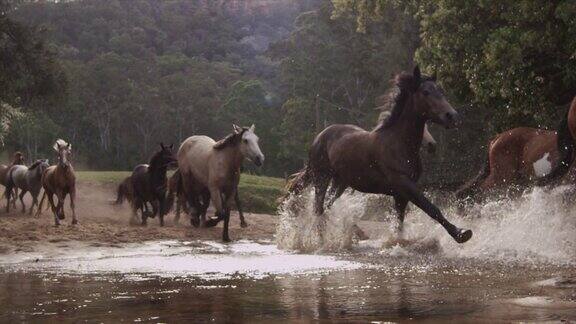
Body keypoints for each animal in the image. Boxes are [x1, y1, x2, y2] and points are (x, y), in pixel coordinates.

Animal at [288, 66, 472, 243]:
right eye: (426, 92)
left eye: (441, 91)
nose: (451, 116)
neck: (399, 144)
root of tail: (320, 137)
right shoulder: (404, 184)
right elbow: (431, 208)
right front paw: (462, 233)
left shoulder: (401, 194)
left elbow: (399, 223)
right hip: (322, 177)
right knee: (318, 208)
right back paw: (320, 241)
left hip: (340, 183)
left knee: (327, 206)